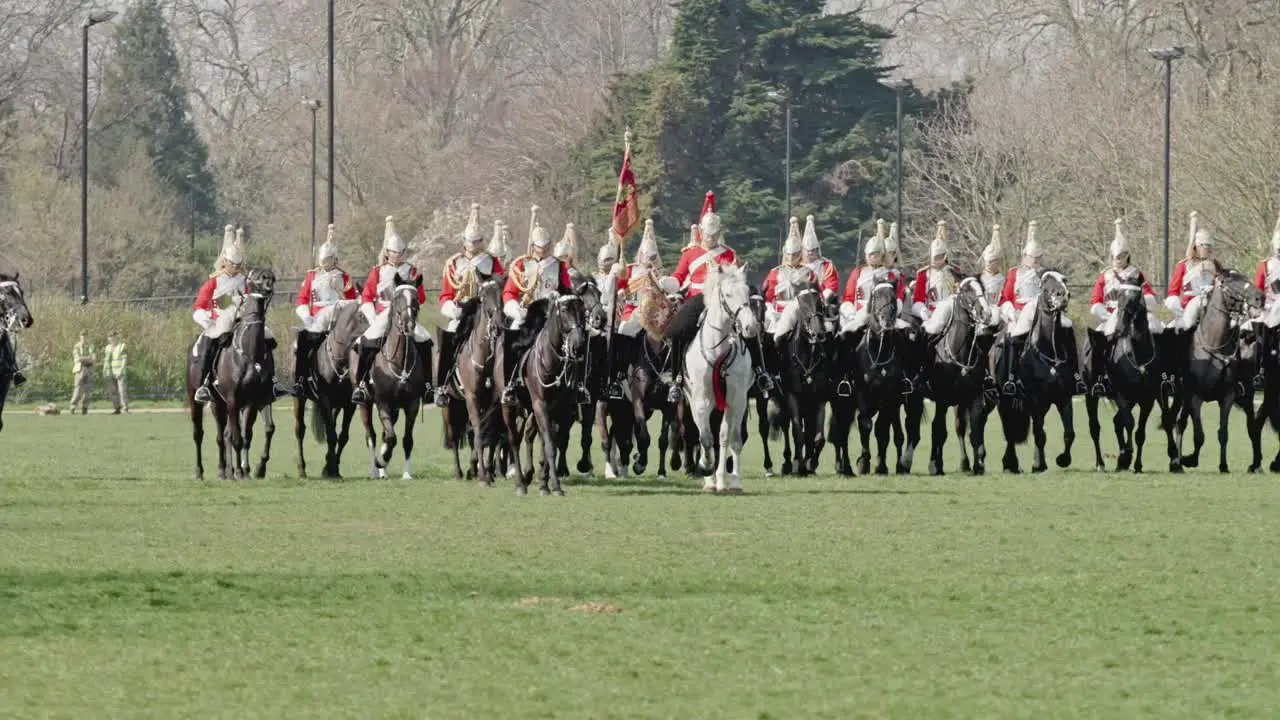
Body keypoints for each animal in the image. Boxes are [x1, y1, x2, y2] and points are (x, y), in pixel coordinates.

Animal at [686, 260, 752, 489]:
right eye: (728, 294)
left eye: (748, 291)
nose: (750, 326)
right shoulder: (700, 400)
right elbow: (705, 438)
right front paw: (706, 468)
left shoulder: (737, 399)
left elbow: (730, 438)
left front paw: (734, 481)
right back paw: (711, 479)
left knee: (724, 436)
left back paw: (723, 480)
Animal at [1080, 280, 1172, 471]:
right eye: (1118, 296)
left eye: (1135, 298)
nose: (1120, 327)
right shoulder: (1122, 394)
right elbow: (1129, 423)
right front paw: (1126, 455)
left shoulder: (1147, 398)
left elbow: (1139, 432)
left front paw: (1134, 462)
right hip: (1091, 395)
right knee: (1095, 427)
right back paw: (1101, 463)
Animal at [1167, 269, 1264, 471]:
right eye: (1230, 281)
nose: (1260, 298)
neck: (1214, 345)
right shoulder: (1195, 397)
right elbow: (1199, 435)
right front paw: (1189, 459)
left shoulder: (1227, 397)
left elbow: (1223, 433)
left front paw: (1223, 465)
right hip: (1183, 396)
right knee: (1180, 424)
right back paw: (1177, 462)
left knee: (1252, 427)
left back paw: (1256, 464)